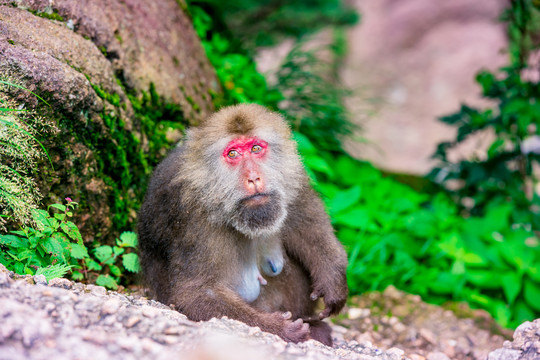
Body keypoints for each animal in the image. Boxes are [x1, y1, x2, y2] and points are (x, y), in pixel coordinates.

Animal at [137, 104, 348, 346]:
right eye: (233, 154)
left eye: (256, 148)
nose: (254, 178)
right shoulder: (193, 218)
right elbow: (196, 293)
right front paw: (280, 328)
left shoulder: (292, 177)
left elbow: (312, 229)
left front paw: (333, 280)